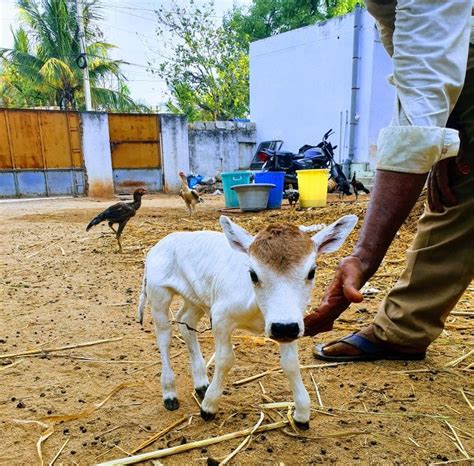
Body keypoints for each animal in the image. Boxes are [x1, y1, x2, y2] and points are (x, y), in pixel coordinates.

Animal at [139, 215, 358, 430]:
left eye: (311, 272)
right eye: (253, 274)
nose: (283, 328)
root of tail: (159, 245)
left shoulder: (293, 321)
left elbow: (291, 364)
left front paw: (301, 414)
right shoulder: (221, 318)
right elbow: (225, 359)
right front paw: (209, 407)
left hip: (196, 298)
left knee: (185, 321)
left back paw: (201, 384)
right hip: (158, 293)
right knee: (164, 337)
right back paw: (169, 392)